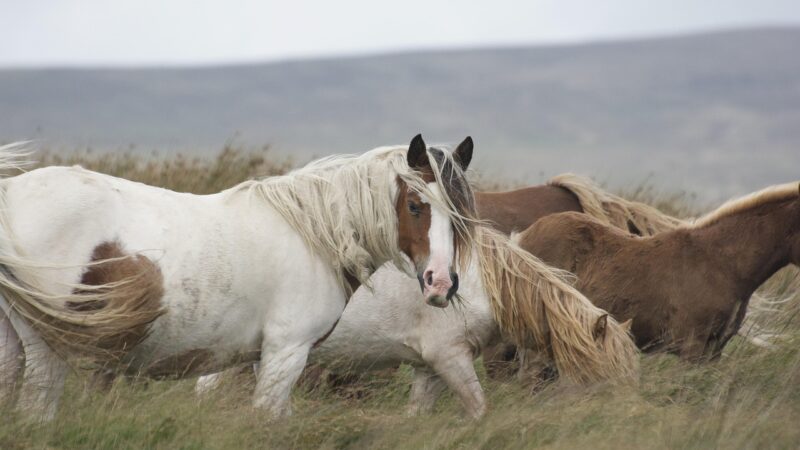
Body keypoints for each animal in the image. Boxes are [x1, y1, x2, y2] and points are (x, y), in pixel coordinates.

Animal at [0, 135, 477, 421]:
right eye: (415, 205)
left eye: (460, 213)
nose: (440, 283)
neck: (313, 233)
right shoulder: (287, 352)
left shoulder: (264, 357)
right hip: (48, 348)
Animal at [198, 227, 640, 418]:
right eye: (605, 377)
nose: (630, 418)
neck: (479, 284)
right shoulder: (450, 359)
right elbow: (479, 409)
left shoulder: (431, 368)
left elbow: (418, 414)